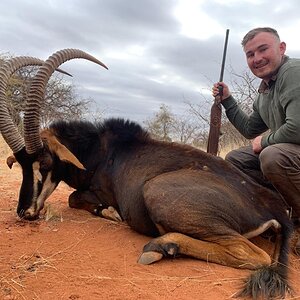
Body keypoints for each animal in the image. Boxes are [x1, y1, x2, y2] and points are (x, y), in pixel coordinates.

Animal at [0, 48, 294, 298]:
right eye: (22, 165)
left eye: (45, 163)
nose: (25, 212)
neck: (99, 149)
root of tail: (274, 207)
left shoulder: (100, 191)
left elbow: (75, 198)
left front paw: (109, 212)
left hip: (155, 190)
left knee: (253, 254)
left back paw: (161, 246)